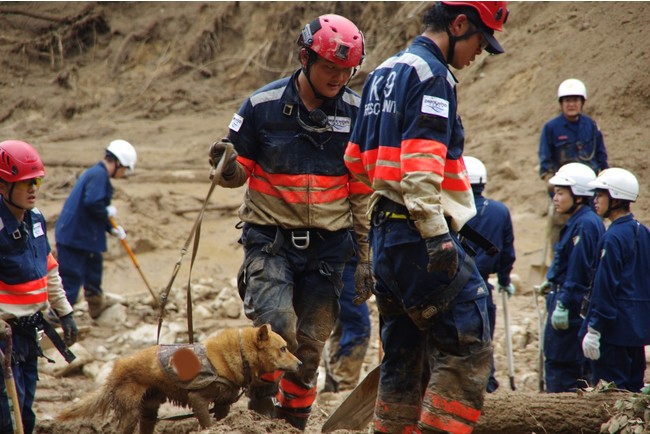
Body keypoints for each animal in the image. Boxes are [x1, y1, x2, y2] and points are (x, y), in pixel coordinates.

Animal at [56, 324, 298, 434]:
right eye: (283, 348)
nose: (299, 364)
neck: (240, 354)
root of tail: (115, 370)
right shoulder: (197, 398)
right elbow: (207, 423)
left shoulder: (223, 405)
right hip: (130, 413)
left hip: (149, 409)